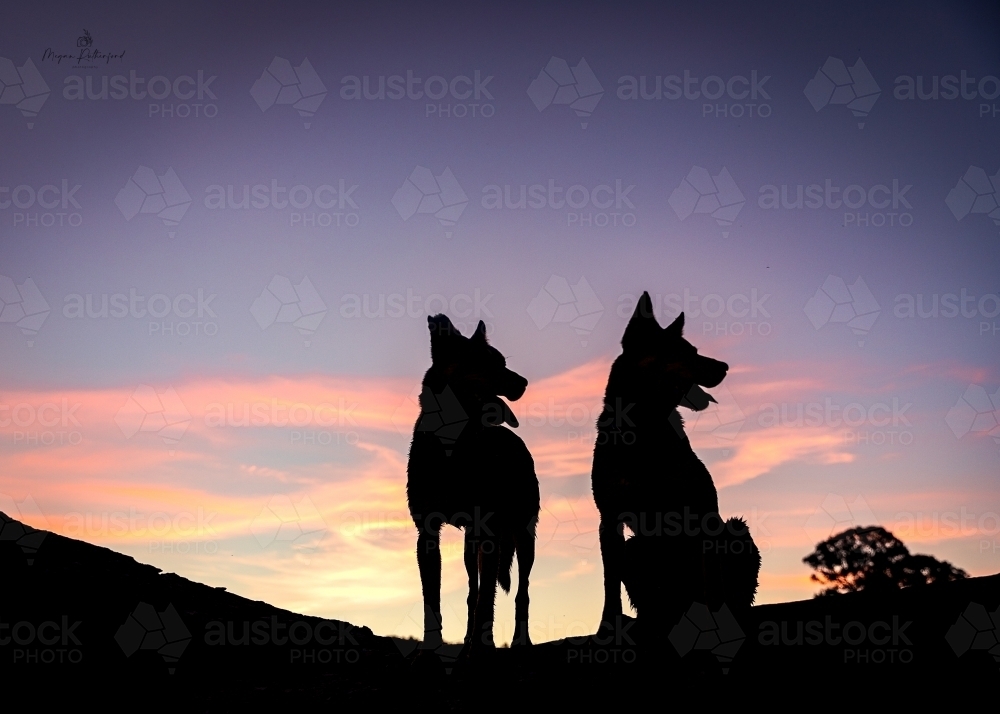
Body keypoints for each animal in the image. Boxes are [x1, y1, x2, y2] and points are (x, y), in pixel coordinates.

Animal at [404, 314, 540, 652]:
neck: (456, 445)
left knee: (521, 592)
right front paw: (430, 650)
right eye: (488, 363)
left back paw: (519, 641)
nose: (524, 383)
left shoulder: (490, 530)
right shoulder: (427, 531)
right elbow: (433, 600)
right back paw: (470, 638)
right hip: (470, 547)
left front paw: (479, 651)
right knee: (472, 590)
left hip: (523, 535)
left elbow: (487, 598)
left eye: (503, 362)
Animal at [592, 290, 756, 636]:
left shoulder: (704, 512)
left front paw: (717, 619)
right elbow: (610, 584)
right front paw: (608, 628)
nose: (725, 366)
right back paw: (649, 619)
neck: (646, 428)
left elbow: (712, 581)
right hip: (635, 548)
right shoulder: (609, 519)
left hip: (735, 528)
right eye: (686, 353)